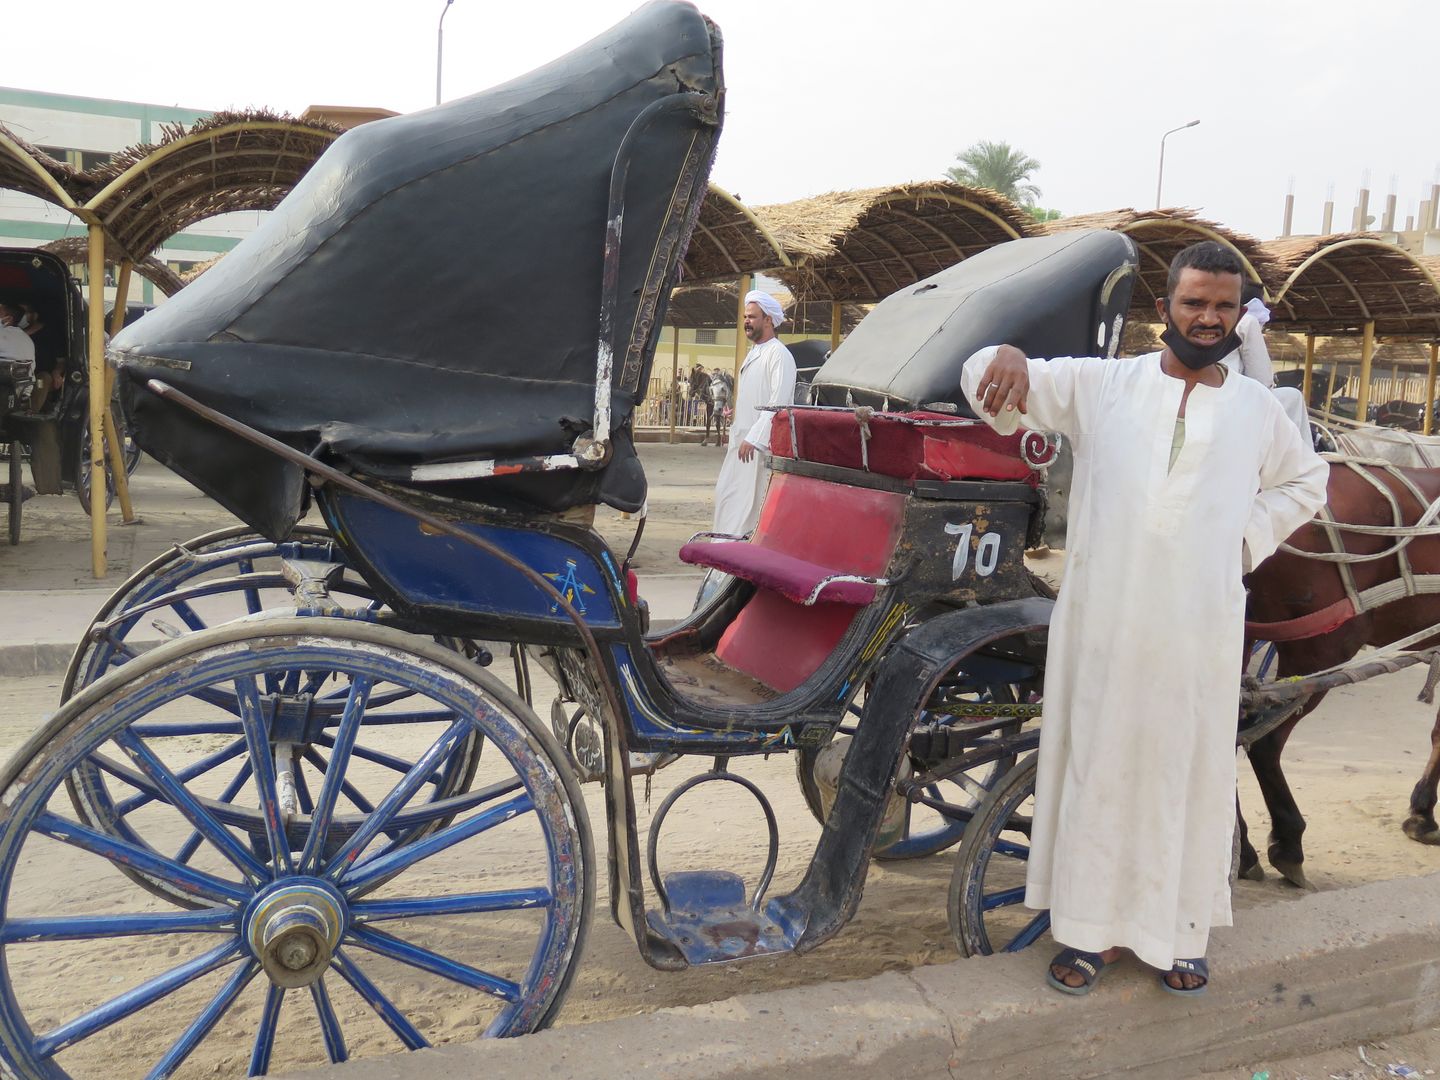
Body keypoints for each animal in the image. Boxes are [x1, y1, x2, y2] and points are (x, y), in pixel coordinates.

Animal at [1238, 457, 1440, 887]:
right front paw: (1424, 815)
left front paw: (1420, 812)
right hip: (1321, 649)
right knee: (1262, 742)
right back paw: (1287, 843)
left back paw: (1244, 850)